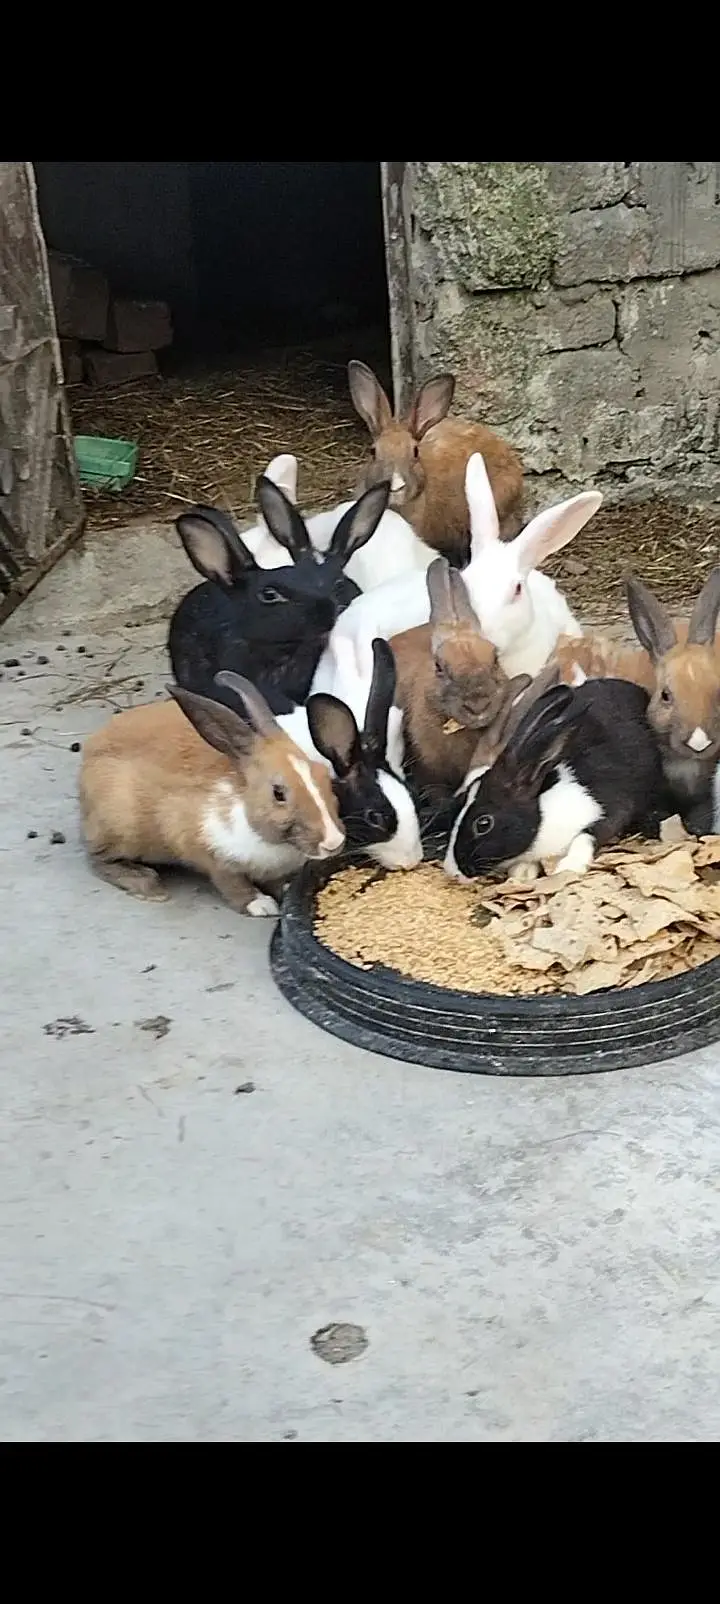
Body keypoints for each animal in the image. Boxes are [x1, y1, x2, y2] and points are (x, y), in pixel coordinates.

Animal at [79, 674, 345, 916]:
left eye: (324, 775)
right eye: (278, 793)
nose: (334, 842)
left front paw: (288, 889)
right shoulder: (210, 855)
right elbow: (232, 884)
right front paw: (260, 905)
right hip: (122, 828)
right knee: (97, 858)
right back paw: (148, 885)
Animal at [444, 675, 666, 885]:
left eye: (483, 823)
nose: (451, 870)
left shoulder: (610, 810)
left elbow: (585, 836)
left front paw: (569, 866)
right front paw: (522, 872)